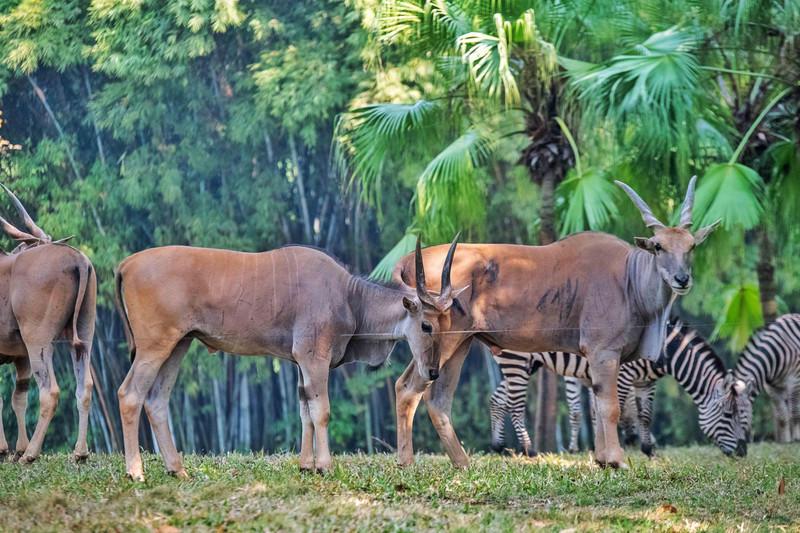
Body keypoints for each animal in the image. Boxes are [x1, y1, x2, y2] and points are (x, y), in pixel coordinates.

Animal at [488, 318, 752, 456]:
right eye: (728, 415)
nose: (743, 451)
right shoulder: (623, 375)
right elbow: (616, 412)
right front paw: (618, 447)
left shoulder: (645, 381)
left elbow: (645, 415)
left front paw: (647, 449)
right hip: (517, 361)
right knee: (515, 406)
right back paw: (528, 449)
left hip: (525, 364)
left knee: (497, 401)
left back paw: (499, 446)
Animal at [732, 314, 800, 442]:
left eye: (740, 412)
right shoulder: (772, 387)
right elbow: (782, 416)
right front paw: (785, 442)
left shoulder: (795, 381)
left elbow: (794, 412)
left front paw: (797, 438)